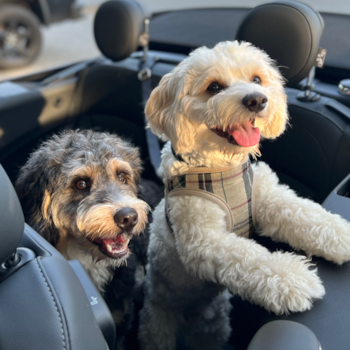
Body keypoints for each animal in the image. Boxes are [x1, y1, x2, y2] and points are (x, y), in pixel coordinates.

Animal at [137, 41, 350, 350]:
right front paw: (292, 278)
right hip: (159, 321)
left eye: (257, 79)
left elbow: (301, 212)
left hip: (214, 323)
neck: (221, 167)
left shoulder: (266, 198)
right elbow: (249, 257)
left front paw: (339, 233)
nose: (257, 100)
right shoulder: (203, 238)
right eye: (213, 87)